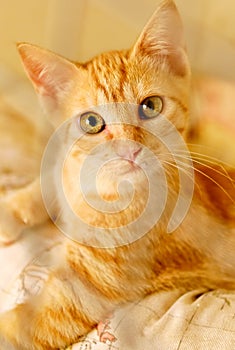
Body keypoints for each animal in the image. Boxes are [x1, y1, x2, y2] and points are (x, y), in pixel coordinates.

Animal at [0, 0, 235, 350]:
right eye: (91, 122)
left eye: (151, 106)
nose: (130, 150)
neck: (104, 191)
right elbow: (52, 179)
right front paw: (11, 210)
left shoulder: (84, 288)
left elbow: (28, 324)